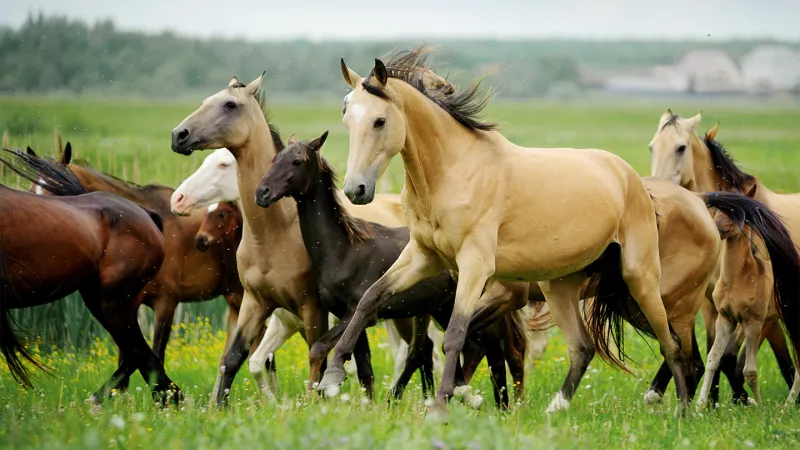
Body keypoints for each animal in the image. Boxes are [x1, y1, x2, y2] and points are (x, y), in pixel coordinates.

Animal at [254, 131, 531, 407]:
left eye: (297, 161)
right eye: (275, 158)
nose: (262, 193)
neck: (342, 250)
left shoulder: (357, 313)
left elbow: (319, 348)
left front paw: (313, 396)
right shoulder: (350, 316)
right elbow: (364, 368)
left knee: (494, 350)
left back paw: (499, 404)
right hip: (441, 308)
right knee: (472, 347)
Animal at [318, 48, 691, 415]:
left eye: (379, 121)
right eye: (347, 117)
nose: (356, 190)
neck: (453, 172)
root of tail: (631, 178)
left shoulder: (474, 266)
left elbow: (456, 332)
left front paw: (441, 405)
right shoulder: (423, 258)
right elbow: (370, 299)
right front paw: (332, 377)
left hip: (639, 278)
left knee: (672, 344)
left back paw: (684, 412)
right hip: (560, 286)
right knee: (583, 347)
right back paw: (555, 409)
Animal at [695, 190, 800, 409]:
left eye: (735, 212)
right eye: (716, 210)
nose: (716, 230)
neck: (740, 279)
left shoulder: (754, 322)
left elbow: (749, 370)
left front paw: (758, 406)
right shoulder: (725, 319)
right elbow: (713, 359)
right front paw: (700, 405)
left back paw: (786, 406)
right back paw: (787, 406)